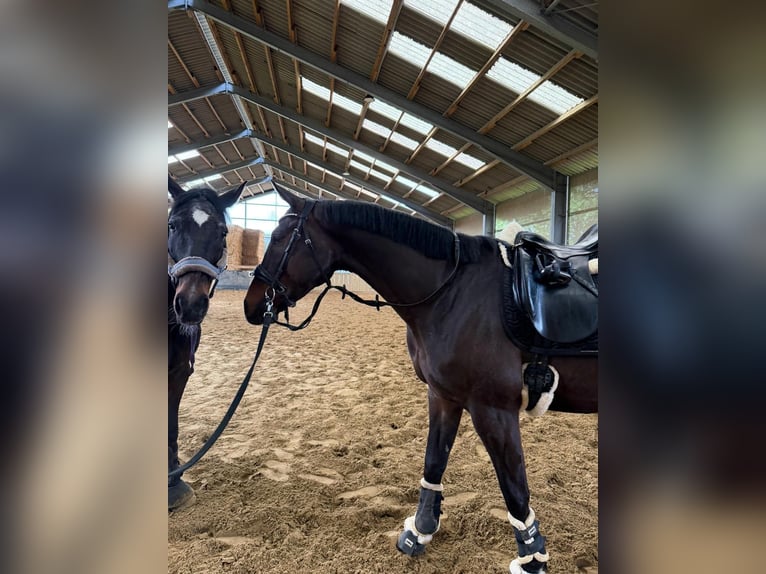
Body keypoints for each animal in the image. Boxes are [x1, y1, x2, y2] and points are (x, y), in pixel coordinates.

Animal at [242, 183, 597, 573]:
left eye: (279, 238)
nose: (252, 305)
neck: (453, 292)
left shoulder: (493, 410)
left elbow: (514, 486)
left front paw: (532, 558)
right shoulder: (444, 396)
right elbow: (434, 459)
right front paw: (420, 530)